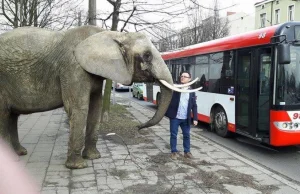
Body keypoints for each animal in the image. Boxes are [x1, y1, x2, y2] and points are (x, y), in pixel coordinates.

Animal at [1, 25, 202, 168]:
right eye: (146, 55)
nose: (138, 127)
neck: (109, 34)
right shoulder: (73, 68)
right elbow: (79, 108)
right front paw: (78, 166)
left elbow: (95, 107)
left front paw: (93, 157)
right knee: (4, 115)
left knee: (12, 116)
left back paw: (20, 153)